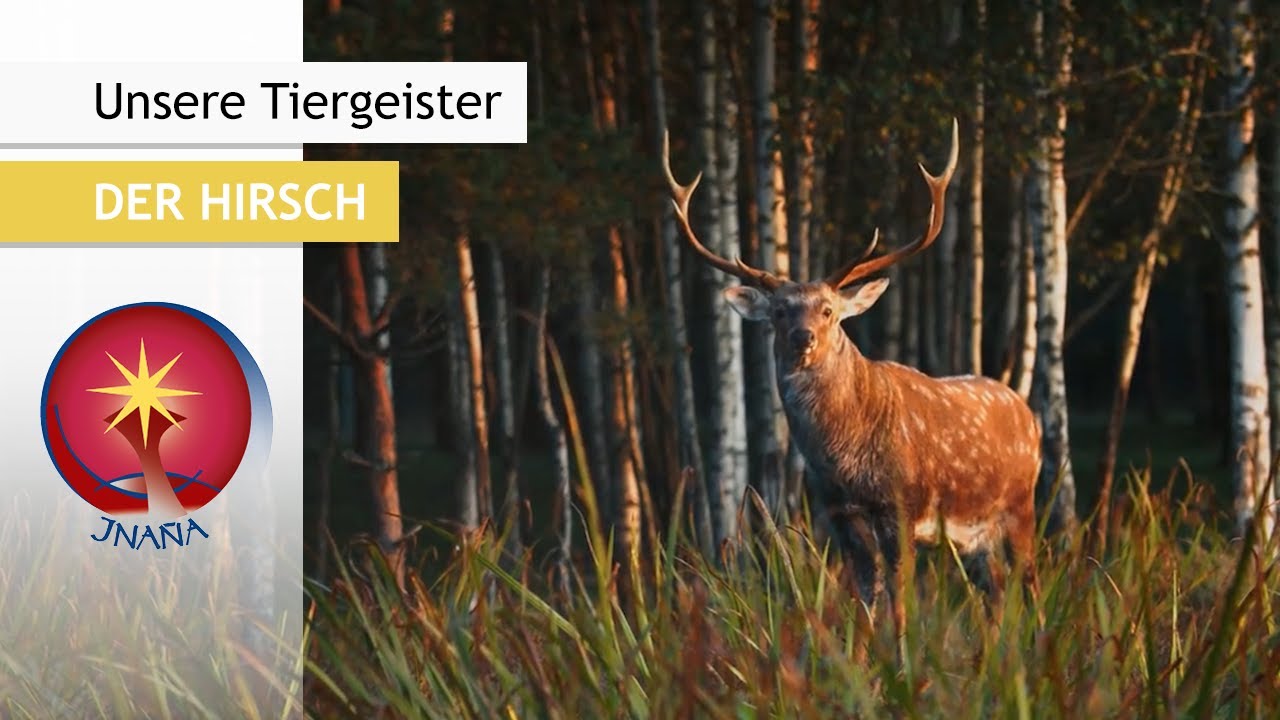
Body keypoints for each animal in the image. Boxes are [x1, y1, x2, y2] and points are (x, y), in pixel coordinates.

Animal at [661, 119, 1043, 646]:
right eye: (780, 311)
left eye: (827, 310)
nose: (802, 337)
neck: (846, 456)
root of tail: (1030, 415)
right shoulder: (839, 513)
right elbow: (864, 601)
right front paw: (861, 661)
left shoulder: (900, 505)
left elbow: (900, 604)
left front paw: (902, 659)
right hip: (973, 536)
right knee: (996, 592)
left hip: (1021, 503)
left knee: (1030, 582)